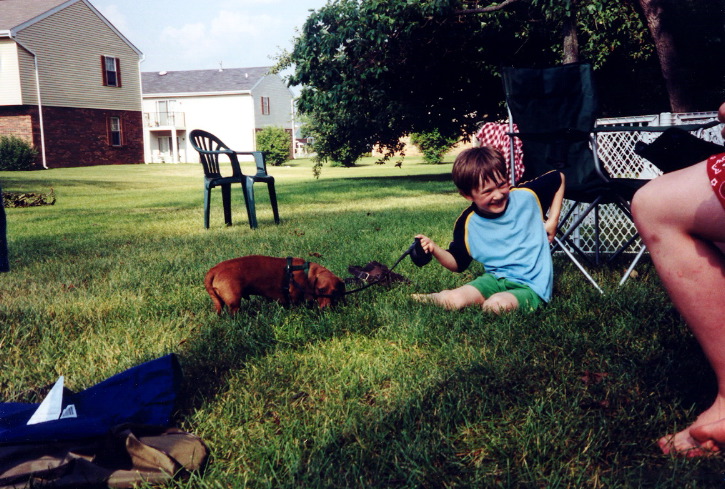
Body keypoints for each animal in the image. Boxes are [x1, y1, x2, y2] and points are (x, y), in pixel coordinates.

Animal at [204, 255, 346, 312]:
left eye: (335, 293)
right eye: (321, 290)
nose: (326, 309)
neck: (306, 272)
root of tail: (214, 270)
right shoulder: (294, 296)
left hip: (219, 302)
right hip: (234, 301)